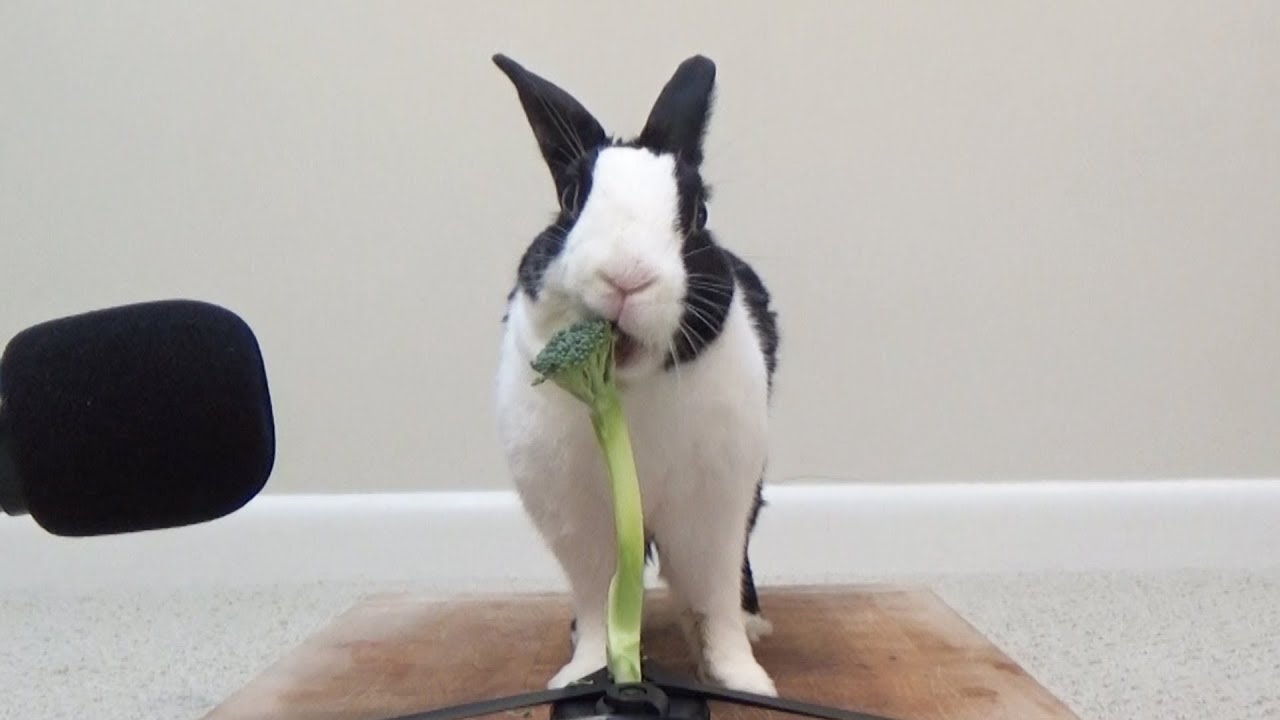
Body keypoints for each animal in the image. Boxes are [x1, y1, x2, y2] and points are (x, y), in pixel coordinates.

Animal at [491, 52, 781, 697]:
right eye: (571, 198)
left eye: (698, 213)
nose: (626, 276)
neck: (625, 395)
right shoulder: (580, 524)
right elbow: (599, 604)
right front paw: (582, 672)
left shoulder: (713, 514)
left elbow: (715, 602)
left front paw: (746, 681)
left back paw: (755, 625)